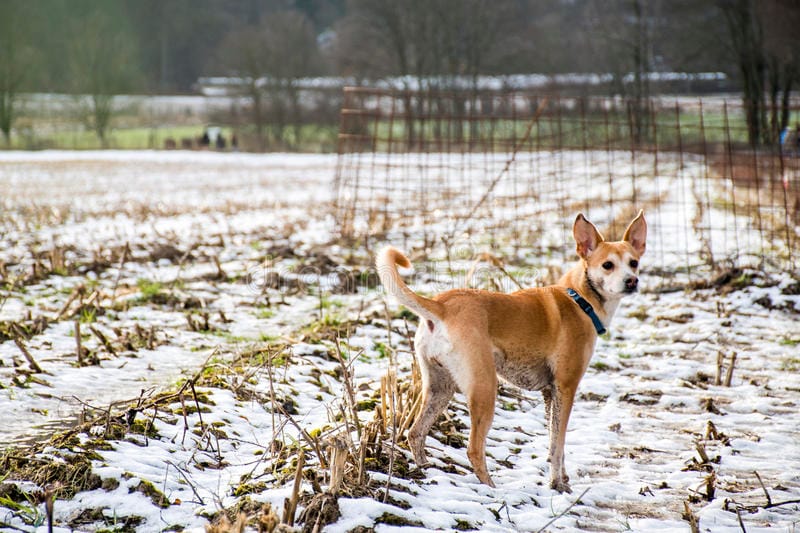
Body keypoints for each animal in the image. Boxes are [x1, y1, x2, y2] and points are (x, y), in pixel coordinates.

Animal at [378, 211, 648, 490]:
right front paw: (558, 484)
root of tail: (441, 306)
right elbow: (559, 443)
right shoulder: (566, 387)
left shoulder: (550, 393)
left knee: (415, 432)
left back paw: (425, 471)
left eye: (634, 262)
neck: (580, 299)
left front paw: (560, 478)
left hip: (439, 387)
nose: (632, 281)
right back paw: (491, 488)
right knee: (474, 449)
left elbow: (554, 443)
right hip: (484, 388)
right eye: (608, 265)